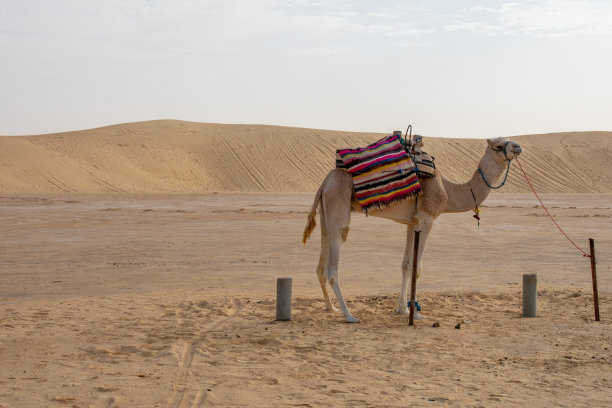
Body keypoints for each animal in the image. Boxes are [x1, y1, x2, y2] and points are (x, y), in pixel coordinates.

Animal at [302, 139, 520, 324]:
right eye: (499, 145)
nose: (518, 147)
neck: (448, 191)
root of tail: (324, 182)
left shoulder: (411, 222)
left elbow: (407, 265)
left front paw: (403, 309)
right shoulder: (427, 217)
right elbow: (418, 267)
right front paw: (415, 313)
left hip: (326, 211)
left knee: (321, 260)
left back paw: (331, 307)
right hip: (338, 203)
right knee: (333, 264)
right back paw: (349, 315)